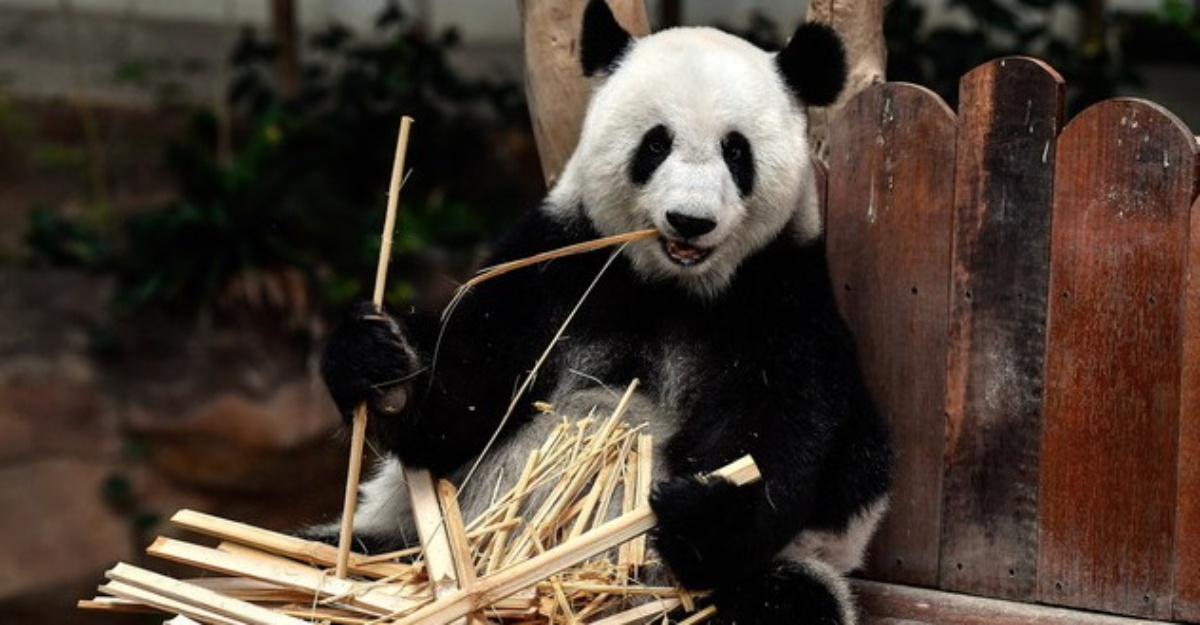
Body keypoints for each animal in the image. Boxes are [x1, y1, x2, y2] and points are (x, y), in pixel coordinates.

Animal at [317, 1, 892, 623]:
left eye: (736, 151)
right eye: (656, 144)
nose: (690, 221)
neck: (671, 285)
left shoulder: (782, 294)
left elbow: (790, 429)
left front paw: (705, 512)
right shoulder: (560, 264)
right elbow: (459, 400)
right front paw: (379, 361)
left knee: (789, 596)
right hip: (406, 540)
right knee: (345, 549)